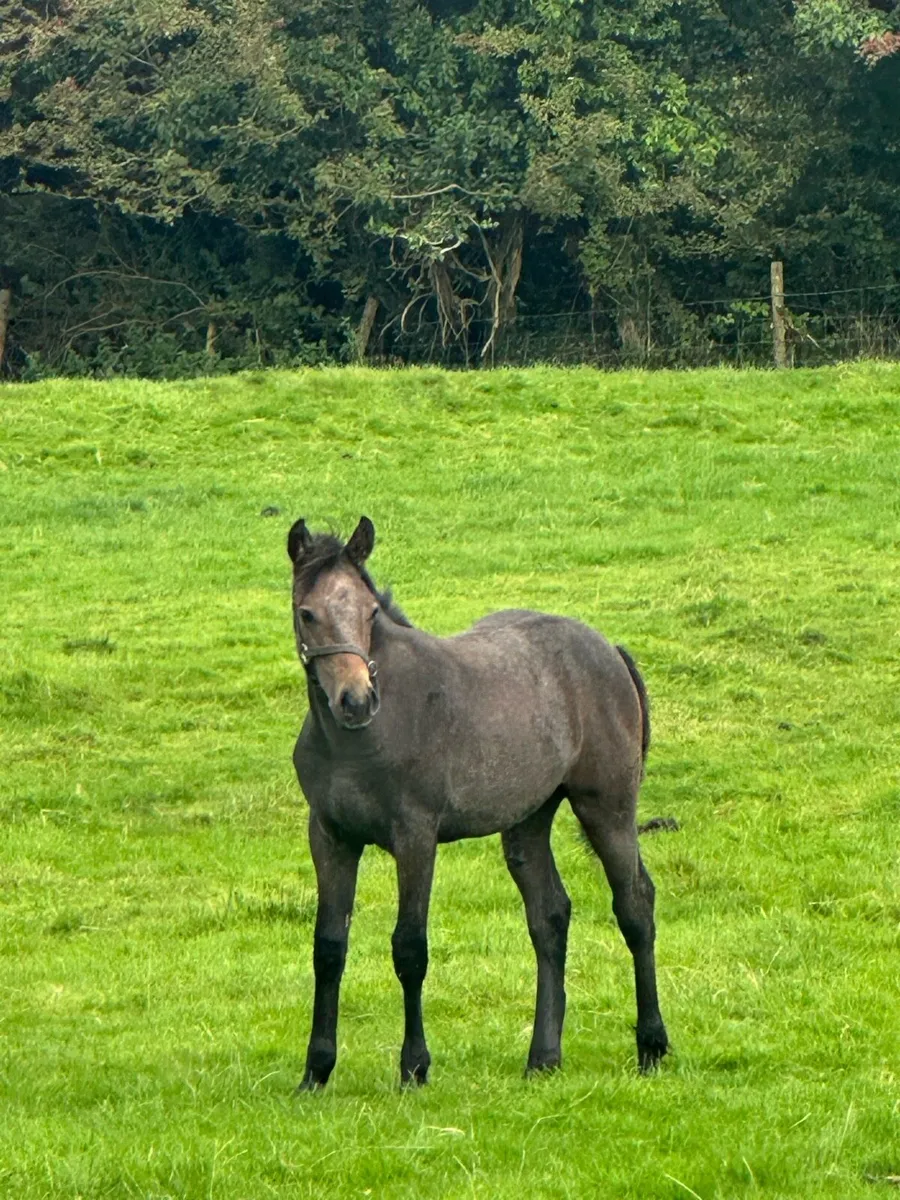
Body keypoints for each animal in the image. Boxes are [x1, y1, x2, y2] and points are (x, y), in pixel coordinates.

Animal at [288, 515, 668, 1089]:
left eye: (370, 611)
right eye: (306, 613)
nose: (356, 700)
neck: (361, 739)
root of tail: (610, 649)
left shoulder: (415, 836)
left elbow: (410, 948)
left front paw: (414, 1067)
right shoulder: (330, 837)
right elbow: (328, 947)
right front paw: (316, 1070)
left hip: (607, 808)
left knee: (635, 904)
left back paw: (651, 1047)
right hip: (527, 820)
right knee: (549, 915)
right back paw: (543, 1057)